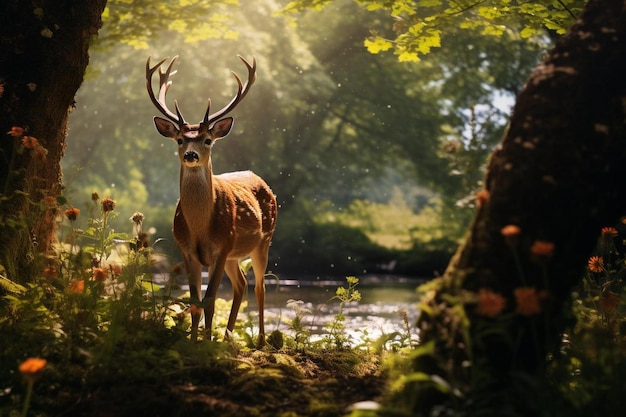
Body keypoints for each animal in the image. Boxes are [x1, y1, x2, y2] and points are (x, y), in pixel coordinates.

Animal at [146, 53, 276, 342]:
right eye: (180, 139)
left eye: (207, 139)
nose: (191, 155)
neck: (200, 229)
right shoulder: (186, 249)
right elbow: (195, 302)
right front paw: (195, 342)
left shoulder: (221, 246)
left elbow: (211, 300)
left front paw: (206, 343)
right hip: (234, 255)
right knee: (241, 284)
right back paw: (227, 337)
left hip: (263, 241)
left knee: (260, 287)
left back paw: (261, 339)